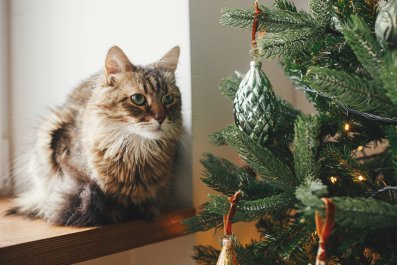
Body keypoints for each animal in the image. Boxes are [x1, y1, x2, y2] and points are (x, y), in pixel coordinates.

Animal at [8, 44, 183, 225]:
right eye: (138, 99)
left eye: (168, 99)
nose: (161, 118)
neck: (135, 154)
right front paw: (115, 213)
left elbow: (151, 200)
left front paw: (148, 211)